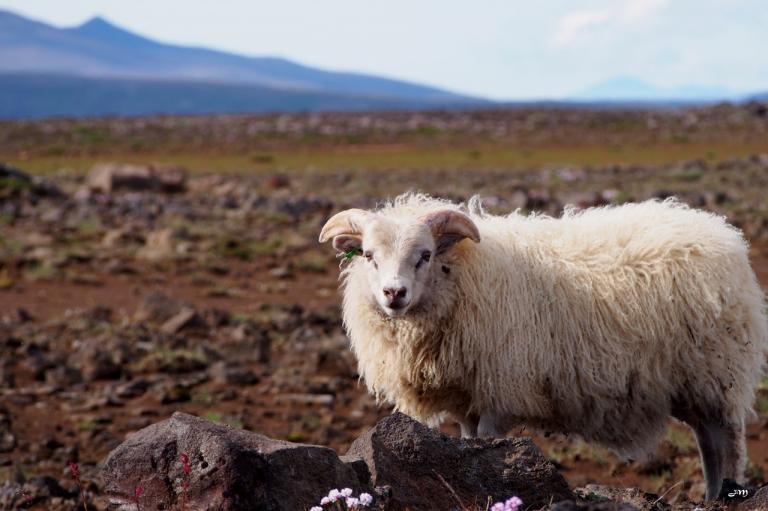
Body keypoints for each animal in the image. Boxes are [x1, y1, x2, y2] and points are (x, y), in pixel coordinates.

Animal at [318, 194, 768, 502]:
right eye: (369, 256)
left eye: (425, 255)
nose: (394, 294)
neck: (465, 275)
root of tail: (724, 236)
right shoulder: (467, 396)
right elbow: (467, 442)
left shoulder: (500, 389)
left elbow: (486, 442)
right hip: (698, 383)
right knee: (708, 442)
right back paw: (710, 497)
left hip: (718, 372)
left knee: (729, 443)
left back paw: (724, 496)